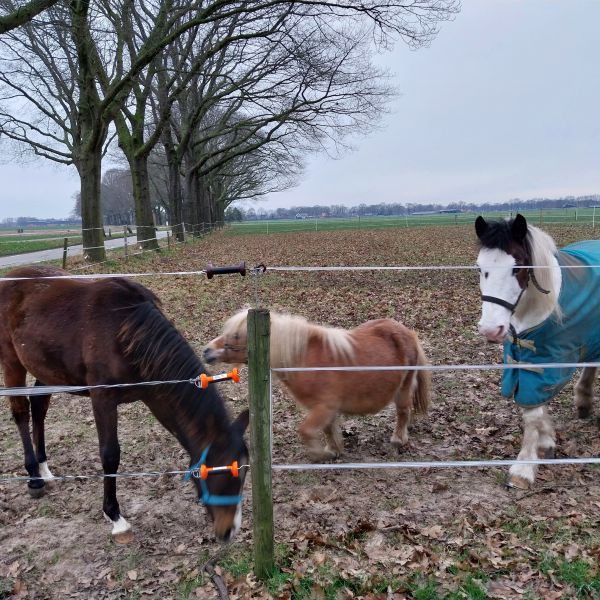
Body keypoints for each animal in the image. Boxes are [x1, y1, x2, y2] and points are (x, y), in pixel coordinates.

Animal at [0, 268, 248, 544]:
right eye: (216, 472)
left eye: (244, 473)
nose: (229, 531)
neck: (127, 333)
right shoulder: (103, 399)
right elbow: (110, 455)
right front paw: (115, 517)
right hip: (12, 363)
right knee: (21, 412)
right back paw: (34, 478)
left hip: (46, 368)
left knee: (38, 406)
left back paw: (44, 470)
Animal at [204, 310, 428, 460]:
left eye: (236, 335)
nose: (207, 351)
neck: (304, 359)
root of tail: (408, 332)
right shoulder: (324, 410)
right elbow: (327, 430)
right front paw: (333, 450)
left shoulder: (324, 407)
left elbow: (305, 431)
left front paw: (320, 454)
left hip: (404, 388)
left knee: (403, 411)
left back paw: (398, 439)